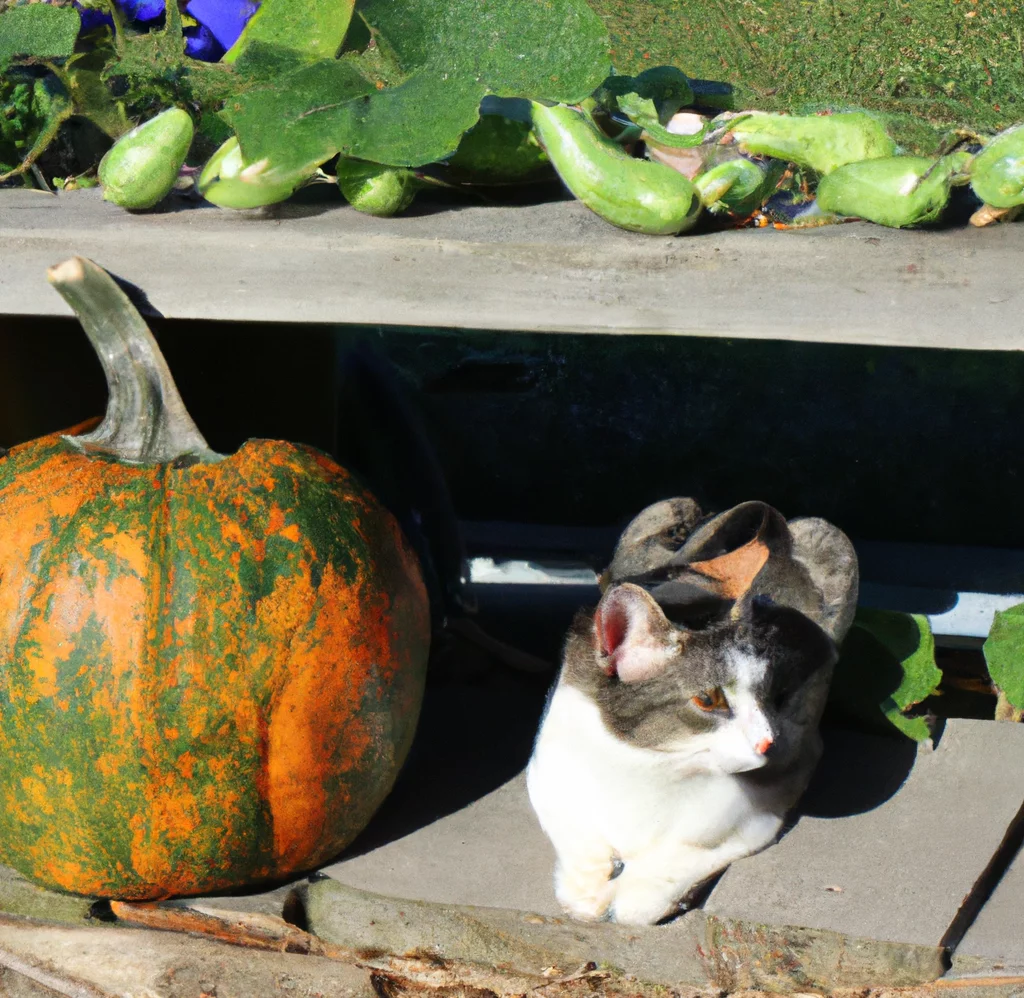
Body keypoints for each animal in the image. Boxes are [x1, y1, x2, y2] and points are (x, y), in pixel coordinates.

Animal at [528, 499, 856, 929]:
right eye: (708, 700)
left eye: (772, 695)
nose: (768, 741)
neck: (641, 767)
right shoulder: (546, 773)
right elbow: (577, 836)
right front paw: (585, 893)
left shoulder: (765, 809)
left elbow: (675, 866)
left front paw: (634, 896)